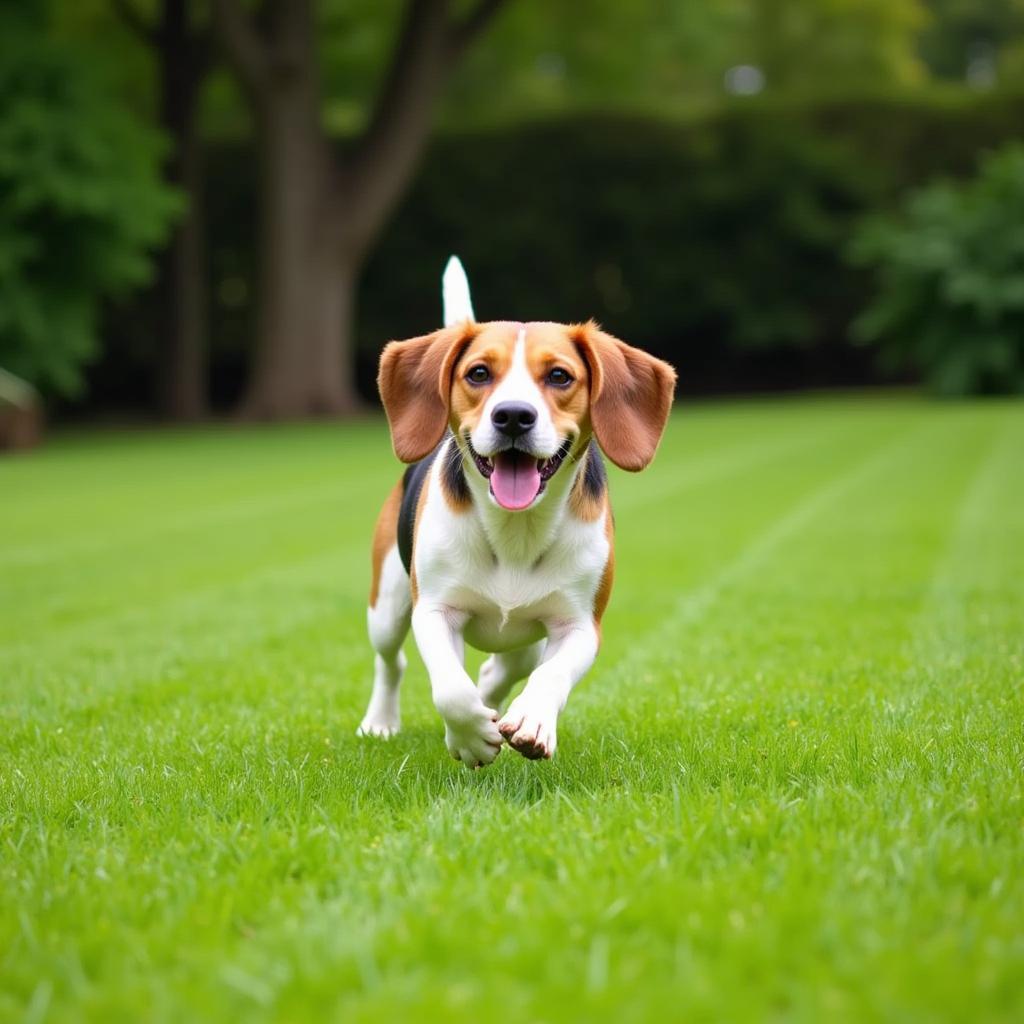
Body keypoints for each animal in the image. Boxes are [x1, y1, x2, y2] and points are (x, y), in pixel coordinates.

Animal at [356, 258, 675, 770]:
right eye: (479, 373)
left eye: (560, 376)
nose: (512, 415)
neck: (516, 530)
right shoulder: (435, 609)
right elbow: (450, 689)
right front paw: (470, 736)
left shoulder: (580, 626)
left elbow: (550, 675)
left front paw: (531, 720)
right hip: (386, 604)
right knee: (392, 661)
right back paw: (381, 722)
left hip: (528, 632)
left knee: (506, 667)